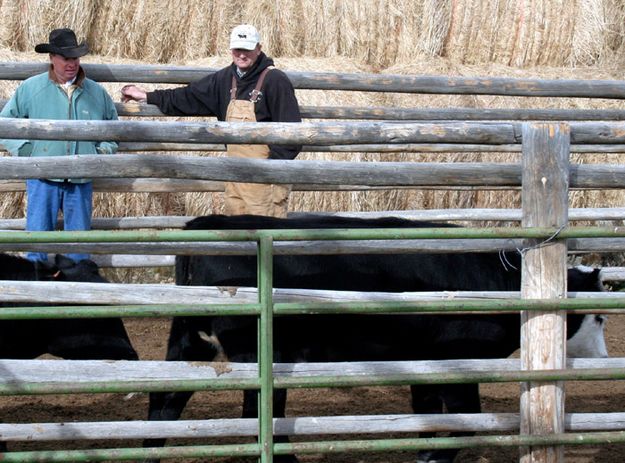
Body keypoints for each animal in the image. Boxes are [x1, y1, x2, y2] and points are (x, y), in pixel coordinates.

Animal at [145, 217, 604, 463]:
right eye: (599, 316)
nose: (604, 355)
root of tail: (207, 223)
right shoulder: (460, 362)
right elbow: (465, 419)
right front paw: (437, 455)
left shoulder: (422, 363)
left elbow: (426, 414)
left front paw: (425, 453)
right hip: (255, 352)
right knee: (253, 411)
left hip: (191, 342)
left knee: (164, 402)